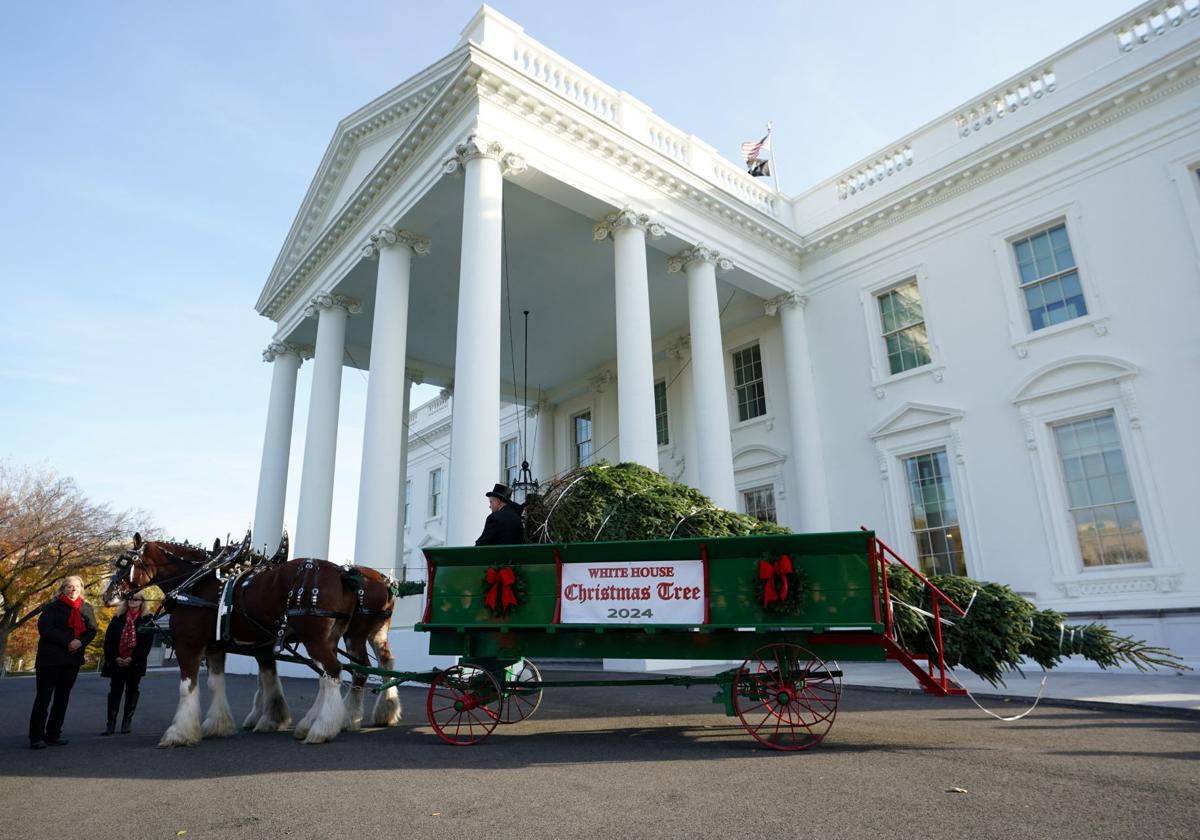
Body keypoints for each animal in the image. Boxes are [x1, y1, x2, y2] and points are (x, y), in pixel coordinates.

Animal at [104, 535, 355, 744]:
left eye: (124, 563)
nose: (107, 595)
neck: (197, 583)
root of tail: (339, 572)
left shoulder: (189, 643)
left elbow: (187, 686)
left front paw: (178, 733)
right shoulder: (215, 647)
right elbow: (216, 683)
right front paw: (217, 725)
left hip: (314, 638)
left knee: (332, 671)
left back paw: (322, 728)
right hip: (328, 638)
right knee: (327, 675)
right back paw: (313, 724)